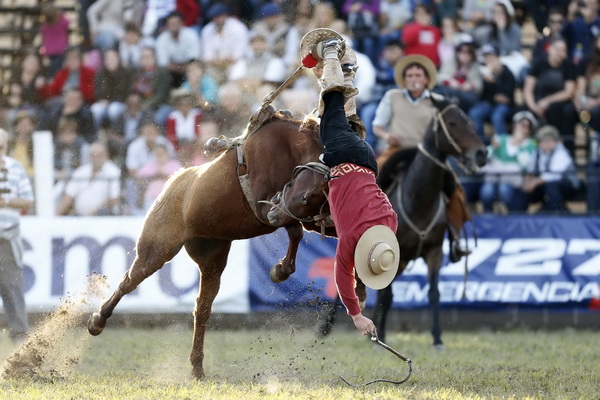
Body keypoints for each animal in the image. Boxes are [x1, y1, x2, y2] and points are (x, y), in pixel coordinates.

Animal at [86, 109, 328, 378]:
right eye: (307, 195)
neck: (287, 146)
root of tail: (174, 182)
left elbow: (298, 231)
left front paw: (283, 268)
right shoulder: (265, 207)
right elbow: (294, 230)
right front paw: (280, 270)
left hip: (211, 260)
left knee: (201, 309)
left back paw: (197, 367)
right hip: (155, 250)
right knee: (129, 281)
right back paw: (97, 321)